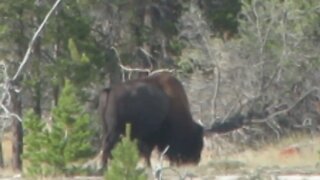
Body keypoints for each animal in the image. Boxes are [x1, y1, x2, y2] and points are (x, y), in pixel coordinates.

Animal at [99, 71, 244, 167]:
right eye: (195, 140)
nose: (194, 160)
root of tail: (111, 90)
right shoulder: (151, 136)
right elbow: (147, 151)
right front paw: (149, 166)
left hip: (108, 129)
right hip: (115, 131)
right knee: (107, 146)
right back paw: (103, 168)